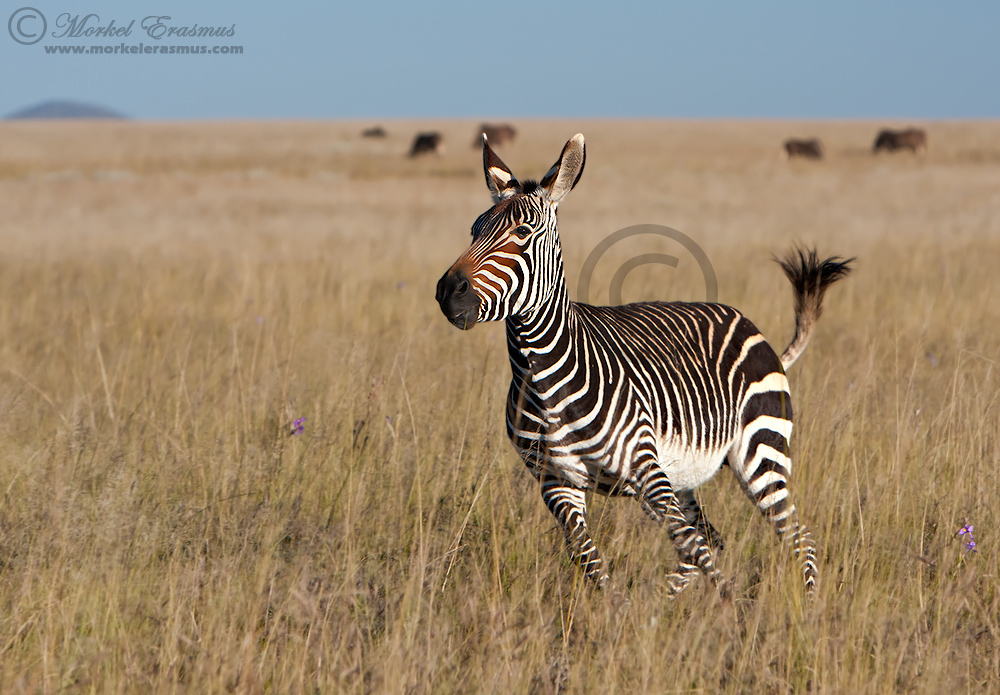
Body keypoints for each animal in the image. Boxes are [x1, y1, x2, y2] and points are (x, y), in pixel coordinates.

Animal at [435, 133, 852, 596]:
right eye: (474, 231)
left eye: (523, 233)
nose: (448, 292)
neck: (541, 376)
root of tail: (748, 324)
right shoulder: (556, 482)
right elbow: (590, 560)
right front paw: (614, 608)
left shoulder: (645, 467)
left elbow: (692, 547)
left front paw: (730, 603)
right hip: (685, 474)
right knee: (708, 539)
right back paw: (664, 603)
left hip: (761, 453)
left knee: (795, 538)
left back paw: (807, 604)